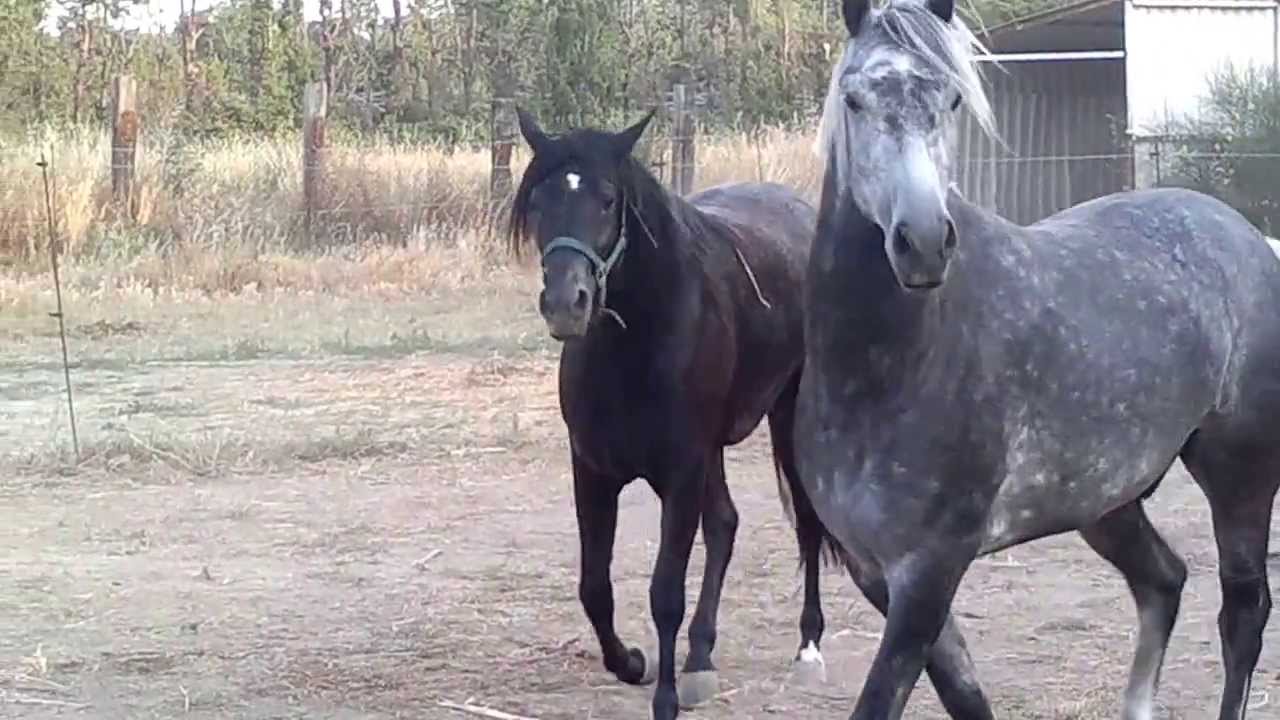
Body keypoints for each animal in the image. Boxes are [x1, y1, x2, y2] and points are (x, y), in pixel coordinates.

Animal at [508, 108, 839, 720]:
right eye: (539, 200)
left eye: (608, 200)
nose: (567, 304)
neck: (637, 344)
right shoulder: (594, 471)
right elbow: (594, 587)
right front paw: (633, 663)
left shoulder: (681, 472)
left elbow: (665, 592)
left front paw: (664, 698)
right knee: (726, 523)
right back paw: (700, 656)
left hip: (788, 418)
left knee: (806, 522)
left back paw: (808, 648)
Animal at [793, 0, 1280, 717]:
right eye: (854, 99)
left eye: (953, 99)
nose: (924, 243)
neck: (889, 370)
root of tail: (1248, 237)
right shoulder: (877, 574)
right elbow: (965, 696)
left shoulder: (929, 573)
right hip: (1108, 503)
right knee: (1163, 581)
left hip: (1238, 475)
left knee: (1243, 612)